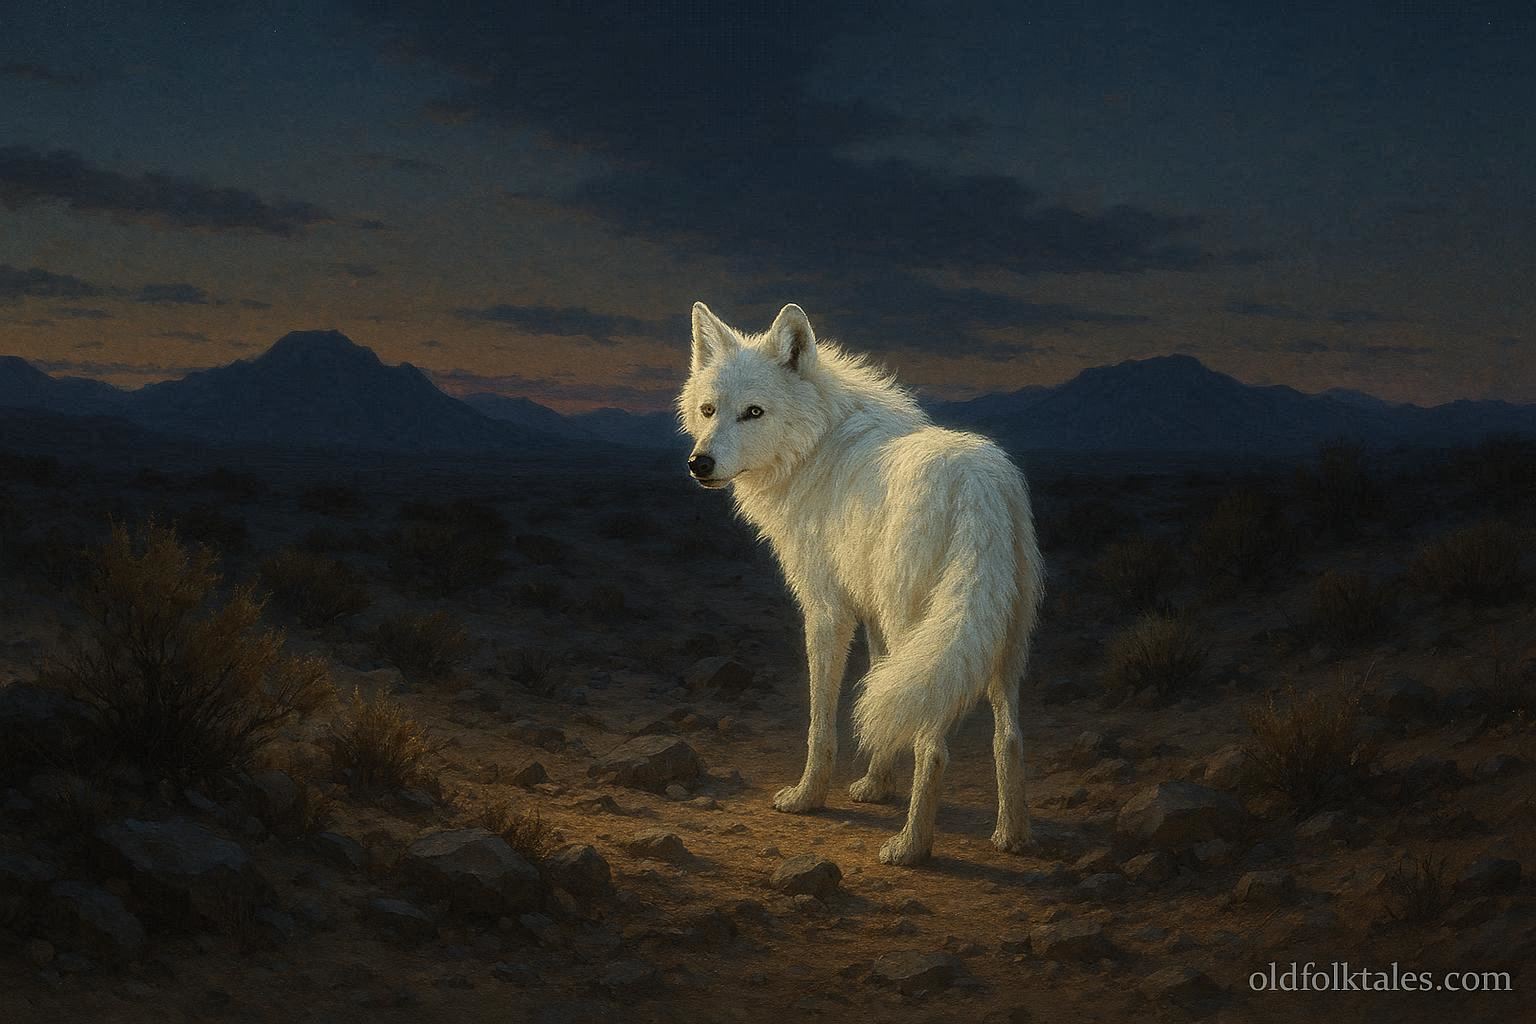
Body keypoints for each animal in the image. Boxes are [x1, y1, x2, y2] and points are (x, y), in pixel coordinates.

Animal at [677, 302, 1044, 865]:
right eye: (708, 410)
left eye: (754, 413)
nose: (700, 464)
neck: (816, 445)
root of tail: (976, 483)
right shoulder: (870, 616)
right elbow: (878, 690)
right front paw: (875, 786)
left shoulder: (826, 610)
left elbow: (821, 721)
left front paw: (807, 797)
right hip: (999, 641)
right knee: (1010, 737)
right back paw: (1013, 836)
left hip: (919, 624)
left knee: (934, 746)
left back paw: (911, 847)